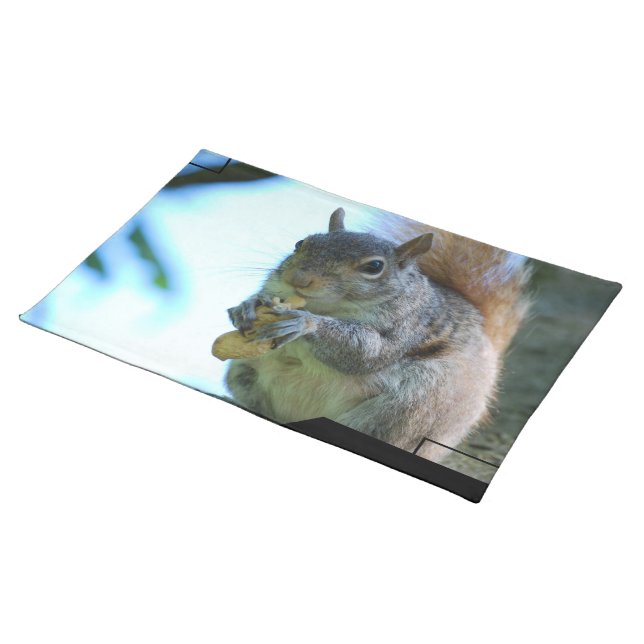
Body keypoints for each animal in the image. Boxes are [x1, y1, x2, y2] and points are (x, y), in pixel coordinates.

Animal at [225, 208, 531, 459]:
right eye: (301, 244)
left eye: (374, 267)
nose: (298, 279)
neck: (328, 306)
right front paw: (248, 306)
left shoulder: (407, 328)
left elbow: (366, 353)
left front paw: (305, 323)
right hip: (244, 372)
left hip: (412, 408)